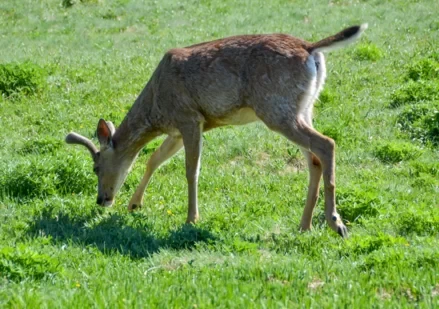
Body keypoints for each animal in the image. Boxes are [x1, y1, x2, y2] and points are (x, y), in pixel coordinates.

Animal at [65, 24, 368, 237]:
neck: (157, 107)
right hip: (302, 108)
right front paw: (134, 205)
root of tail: (310, 48)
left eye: (95, 167)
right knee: (314, 158)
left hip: (276, 109)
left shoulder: (189, 118)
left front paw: (191, 219)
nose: (101, 200)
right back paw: (304, 225)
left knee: (326, 144)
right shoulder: (177, 130)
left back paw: (336, 223)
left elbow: (191, 170)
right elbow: (154, 159)